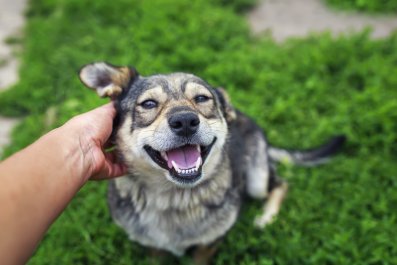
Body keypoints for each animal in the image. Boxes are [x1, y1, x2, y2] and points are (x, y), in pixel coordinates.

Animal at [78, 62, 344, 262]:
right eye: (149, 104)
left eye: (202, 98)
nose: (185, 121)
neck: (173, 199)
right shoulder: (153, 248)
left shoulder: (208, 244)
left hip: (256, 181)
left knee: (281, 184)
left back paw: (266, 217)